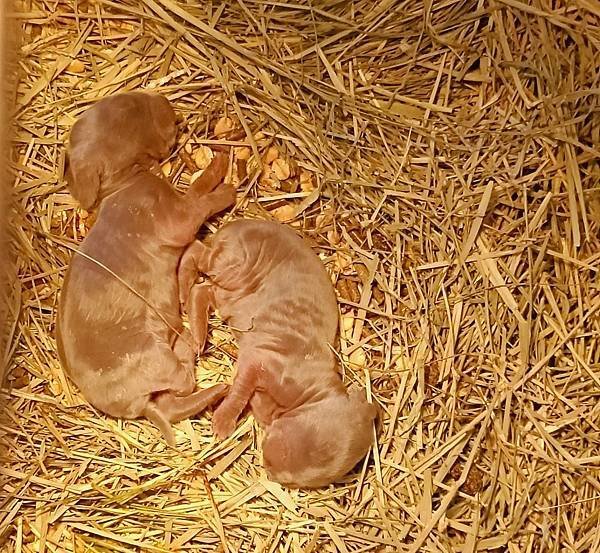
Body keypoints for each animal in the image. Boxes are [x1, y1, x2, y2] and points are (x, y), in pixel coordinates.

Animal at [56, 90, 234, 444]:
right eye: (130, 108)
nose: (164, 100)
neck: (124, 184)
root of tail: (137, 404)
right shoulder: (176, 219)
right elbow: (200, 201)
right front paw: (222, 176)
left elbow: (194, 194)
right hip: (156, 357)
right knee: (183, 380)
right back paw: (190, 345)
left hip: (158, 386)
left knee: (173, 404)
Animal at [178, 220, 376, 488]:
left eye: (296, 482)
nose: (268, 465)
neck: (309, 395)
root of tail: (237, 223)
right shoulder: (264, 361)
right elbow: (240, 389)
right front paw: (222, 423)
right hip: (237, 262)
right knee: (196, 251)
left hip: (230, 291)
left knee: (203, 289)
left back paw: (197, 330)